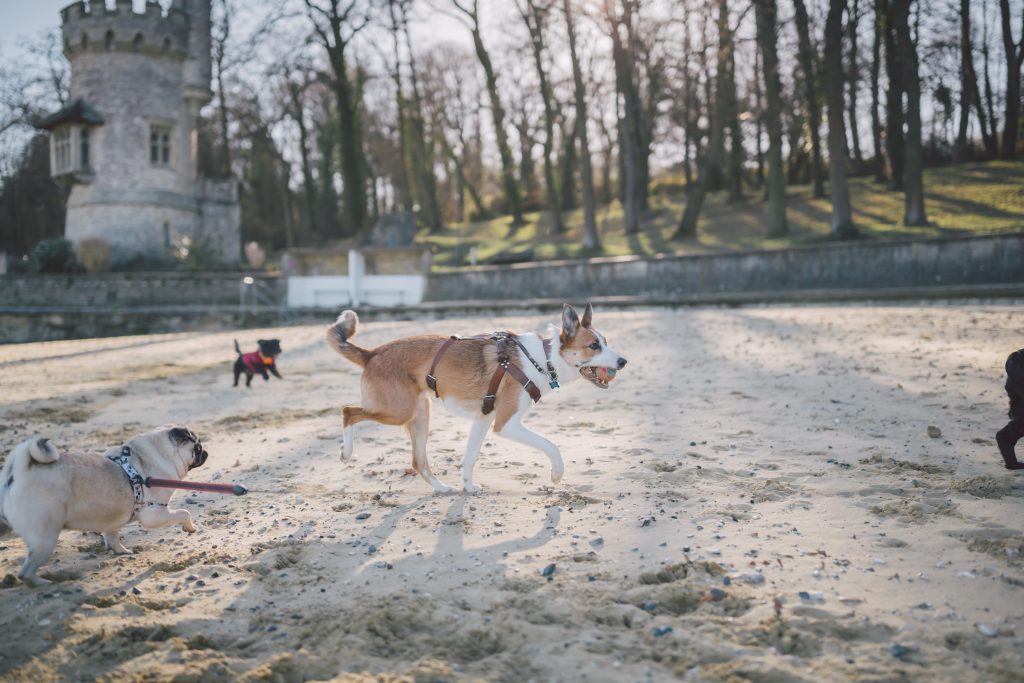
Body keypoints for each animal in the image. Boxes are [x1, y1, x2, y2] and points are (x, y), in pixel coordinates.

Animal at [325, 303, 622, 491]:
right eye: (593, 346)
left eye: (606, 342)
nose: (623, 361)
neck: (542, 359)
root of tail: (372, 353)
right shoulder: (505, 424)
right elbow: (551, 445)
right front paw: (557, 474)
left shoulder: (483, 418)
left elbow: (470, 456)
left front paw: (467, 486)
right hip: (399, 411)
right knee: (347, 411)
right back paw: (346, 452)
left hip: (420, 414)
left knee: (419, 462)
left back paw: (443, 489)